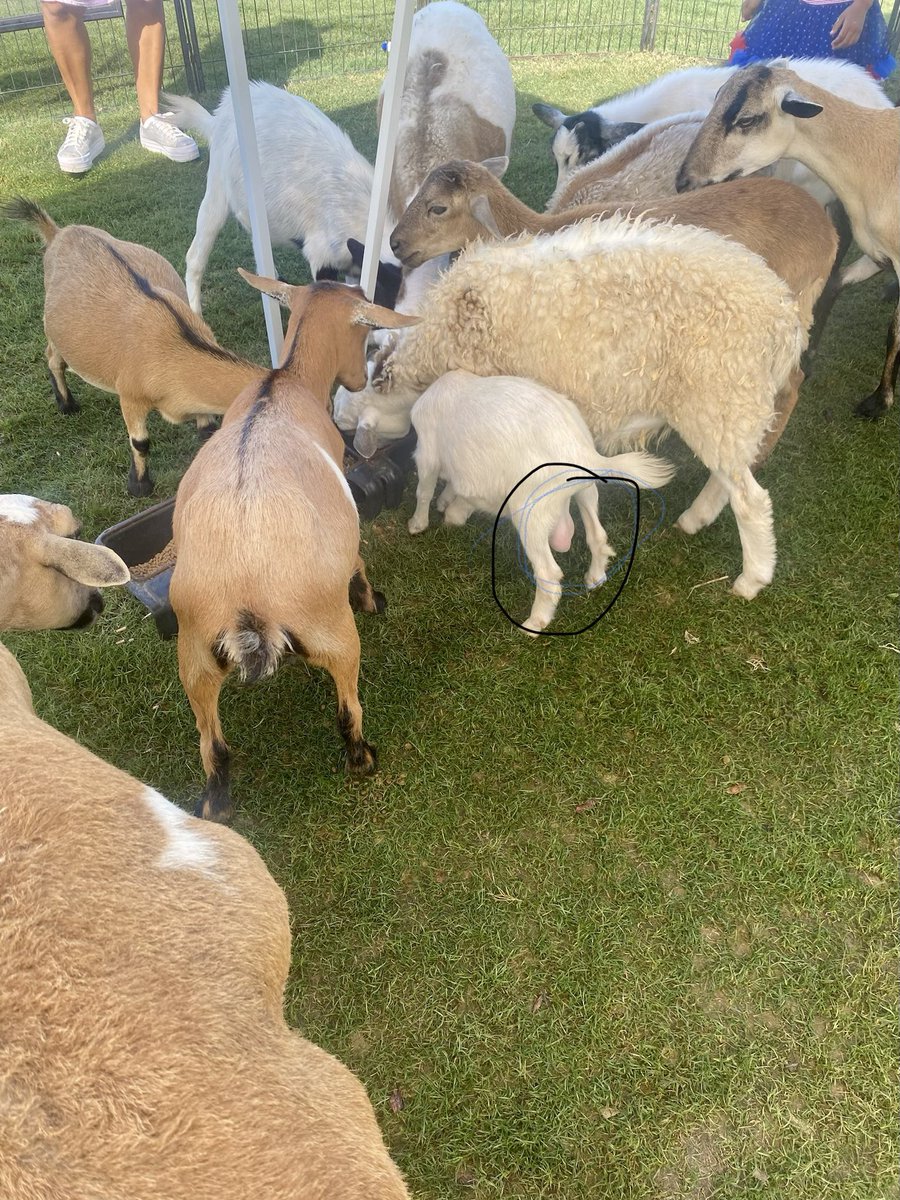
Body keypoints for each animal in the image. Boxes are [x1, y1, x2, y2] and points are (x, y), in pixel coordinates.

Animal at [3, 198, 264, 496]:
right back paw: (67, 405)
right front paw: (139, 485)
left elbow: (207, 428)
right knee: (53, 360)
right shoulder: (130, 395)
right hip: (52, 331)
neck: (177, 346)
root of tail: (58, 233)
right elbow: (140, 442)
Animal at [169, 276, 418, 823]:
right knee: (347, 710)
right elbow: (358, 560)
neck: (286, 381)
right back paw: (363, 759)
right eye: (364, 335)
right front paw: (375, 599)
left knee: (212, 745)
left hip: (193, 656)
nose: (357, 380)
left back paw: (214, 805)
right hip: (332, 631)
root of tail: (245, 601)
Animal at [408, 371, 675, 634]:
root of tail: (584, 454)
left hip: (530, 511)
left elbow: (424, 490)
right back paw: (595, 578)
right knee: (597, 535)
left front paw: (418, 524)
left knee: (549, 573)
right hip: (585, 491)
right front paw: (449, 507)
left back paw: (535, 622)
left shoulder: (427, 451)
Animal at [677, 63, 900, 418]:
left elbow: (894, 333)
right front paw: (807, 359)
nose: (684, 181)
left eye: (747, 120)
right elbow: (833, 284)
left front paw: (879, 401)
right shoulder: (877, 253)